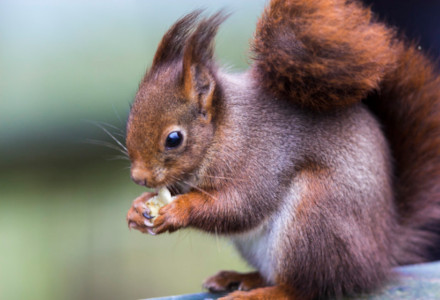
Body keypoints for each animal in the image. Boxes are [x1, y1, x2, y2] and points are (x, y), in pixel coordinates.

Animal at [124, 1, 440, 298]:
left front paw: (177, 210)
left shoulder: (261, 155)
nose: (139, 177)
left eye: (174, 139)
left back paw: (262, 294)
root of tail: (381, 254)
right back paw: (241, 278)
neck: (223, 132)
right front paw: (139, 206)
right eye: (130, 116)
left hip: (314, 221)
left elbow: (240, 205)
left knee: (306, 287)